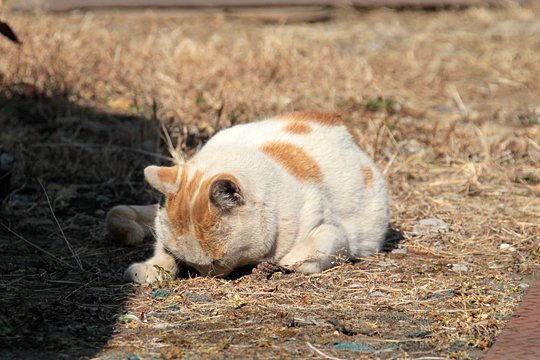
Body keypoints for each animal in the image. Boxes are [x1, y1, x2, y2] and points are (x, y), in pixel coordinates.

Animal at [105, 112, 388, 284]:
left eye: (216, 262)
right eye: (190, 263)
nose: (205, 276)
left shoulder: (333, 233)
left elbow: (307, 252)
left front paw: (284, 261)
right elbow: (161, 251)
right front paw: (152, 267)